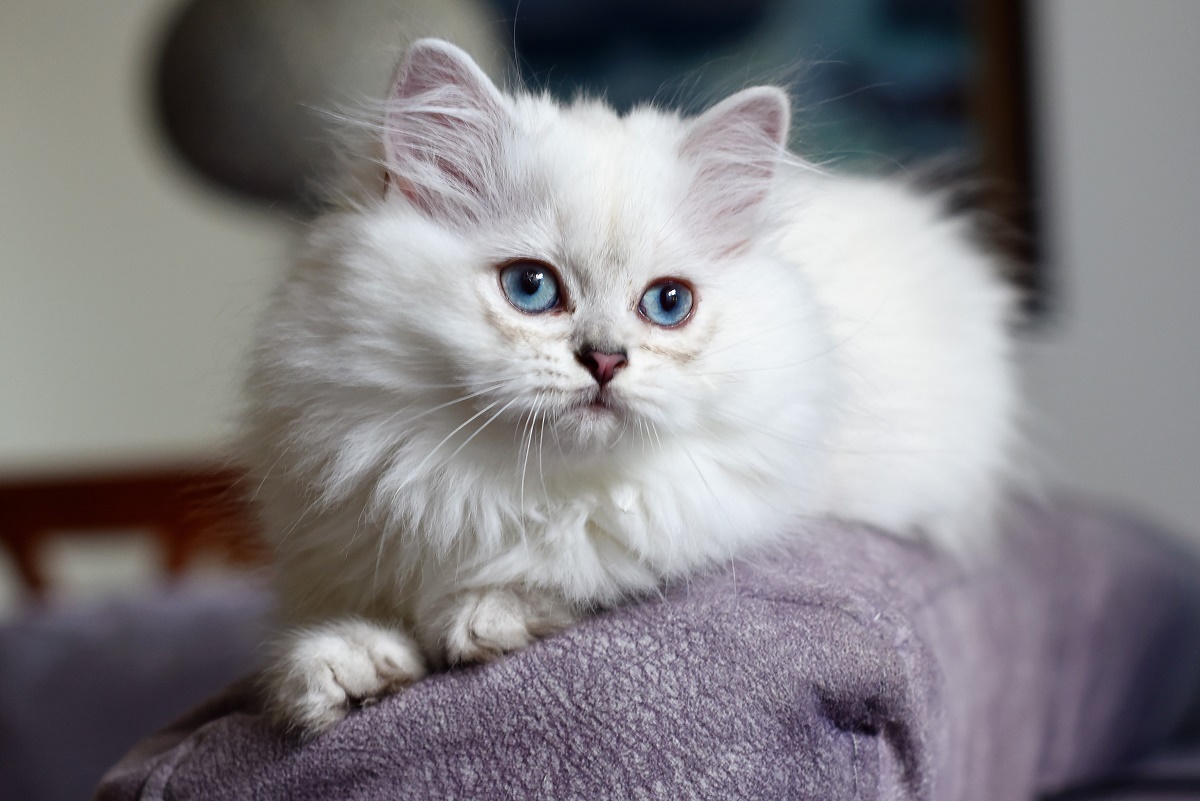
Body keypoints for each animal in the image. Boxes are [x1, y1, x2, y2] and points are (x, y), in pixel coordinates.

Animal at [248, 40, 1017, 733]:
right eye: (531, 288)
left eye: (668, 303)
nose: (605, 360)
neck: (494, 491)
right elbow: (321, 637)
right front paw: (345, 670)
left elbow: (564, 579)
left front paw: (477, 621)